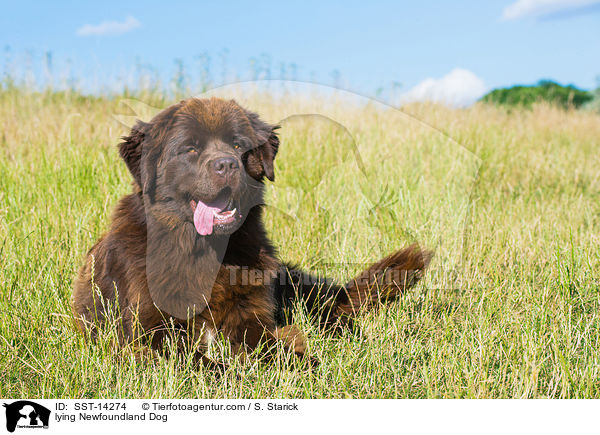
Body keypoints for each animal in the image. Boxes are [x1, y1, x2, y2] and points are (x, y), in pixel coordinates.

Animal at [71, 98, 432, 364]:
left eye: (237, 145)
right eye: (190, 148)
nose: (227, 165)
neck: (206, 251)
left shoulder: (253, 316)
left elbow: (275, 348)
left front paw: (304, 365)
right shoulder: (151, 331)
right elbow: (199, 363)